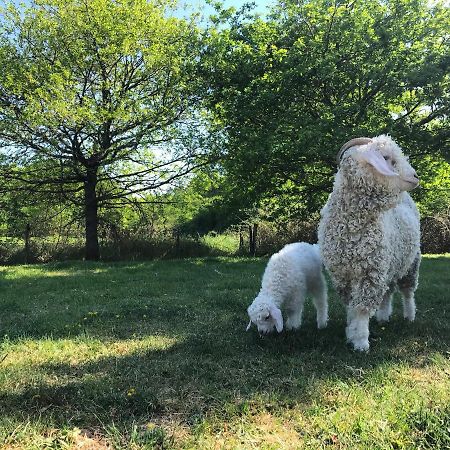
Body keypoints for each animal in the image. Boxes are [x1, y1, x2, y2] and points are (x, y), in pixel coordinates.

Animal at [318, 134, 420, 352]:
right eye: (386, 158)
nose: (416, 177)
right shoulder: (342, 275)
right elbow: (351, 306)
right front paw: (351, 331)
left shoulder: (370, 271)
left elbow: (362, 309)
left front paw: (361, 341)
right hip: (390, 263)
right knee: (388, 291)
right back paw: (383, 316)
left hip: (411, 261)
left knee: (407, 291)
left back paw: (409, 316)